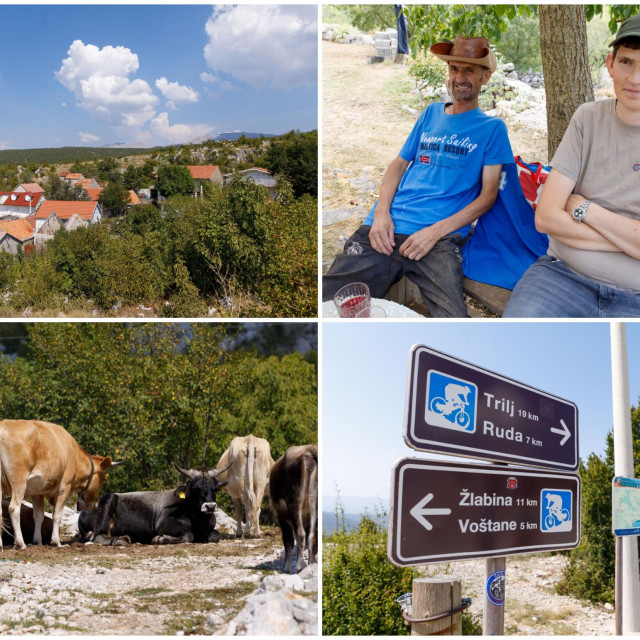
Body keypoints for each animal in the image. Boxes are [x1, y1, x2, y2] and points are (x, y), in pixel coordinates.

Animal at [0, 420, 114, 552]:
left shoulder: (38, 491)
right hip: (19, 480)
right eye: (104, 479)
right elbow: (57, 516)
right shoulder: (65, 488)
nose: (95, 504)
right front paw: (57, 542)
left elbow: (38, 516)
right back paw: (20, 543)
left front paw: (37, 541)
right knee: (14, 508)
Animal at [78, 462, 230, 548]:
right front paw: (160, 538)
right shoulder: (164, 526)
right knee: (97, 536)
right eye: (195, 488)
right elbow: (188, 536)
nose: (210, 506)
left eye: (215, 488)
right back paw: (118, 541)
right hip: (109, 498)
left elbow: (216, 536)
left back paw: (124, 538)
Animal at [268, 444, 318, 576]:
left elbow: (288, 541)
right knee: (311, 536)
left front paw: (286, 567)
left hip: (294, 503)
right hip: (313, 505)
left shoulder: (282, 516)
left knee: (301, 534)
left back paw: (300, 567)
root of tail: (309, 451)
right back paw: (311, 565)